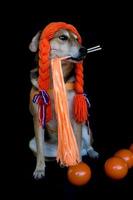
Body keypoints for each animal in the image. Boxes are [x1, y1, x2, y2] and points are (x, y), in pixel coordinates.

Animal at [28, 24, 98, 180]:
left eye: (77, 39)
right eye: (63, 37)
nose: (84, 50)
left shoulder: (75, 117)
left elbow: (77, 143)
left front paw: (78, 165)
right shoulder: (37, 118)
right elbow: (40, 150)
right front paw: (39, 169)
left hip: (86, 129)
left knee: (86, 146)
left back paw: (91, 153)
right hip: (32, 143)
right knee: (46, 152)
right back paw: (61, 162)